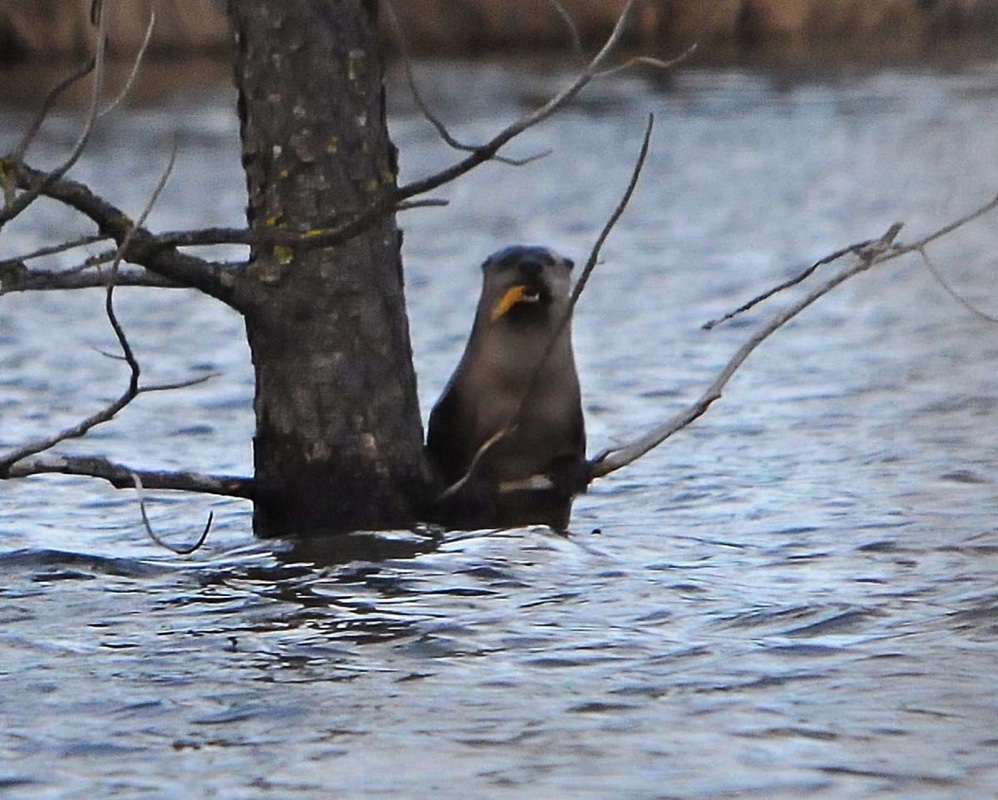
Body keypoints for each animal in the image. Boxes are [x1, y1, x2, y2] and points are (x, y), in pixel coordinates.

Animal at [427, 245, 588, 531]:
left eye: (549, 260)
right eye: (508, 260)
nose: (530, 265)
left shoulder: (572, 412)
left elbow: (577, 446)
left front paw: (572, 471)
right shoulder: (452, 406)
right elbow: (444, 450)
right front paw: (474, 486)